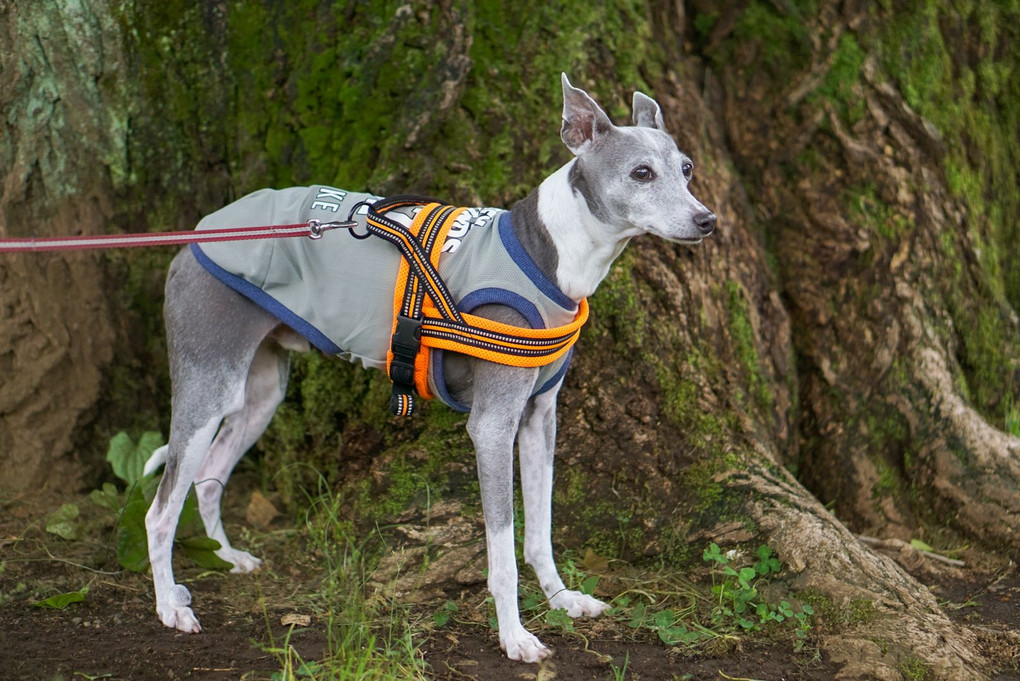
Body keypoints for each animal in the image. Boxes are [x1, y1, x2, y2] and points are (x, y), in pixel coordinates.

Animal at [145, 73, 718, 660]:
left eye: (687, 168)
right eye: (641, 173)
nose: (707, 221)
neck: (547, 253)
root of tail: (194, 237)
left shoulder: (539, 417)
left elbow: (539, 533)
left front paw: (562, 599)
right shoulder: (492, 426)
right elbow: (503, 552)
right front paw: (514, 636)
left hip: (260, 392)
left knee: (208, 478)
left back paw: (225, 558)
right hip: (208, 387)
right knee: (161, 509)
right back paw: (170, 606)